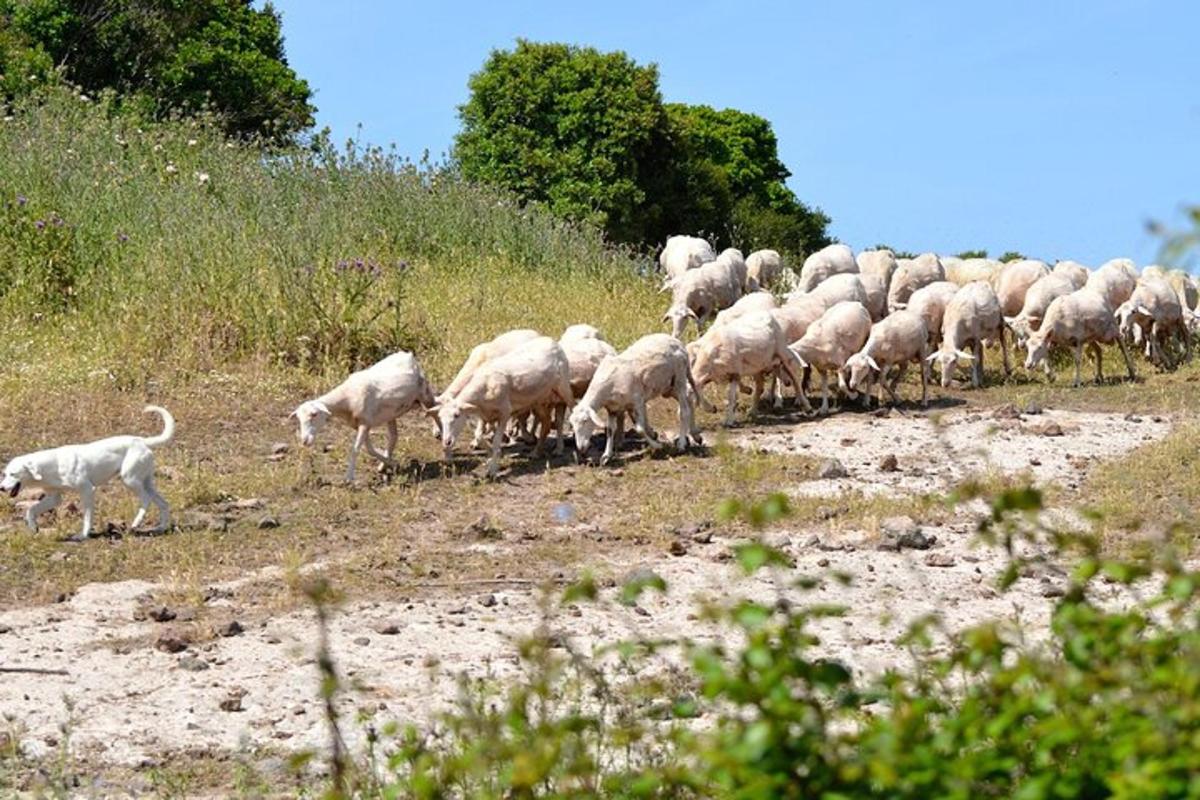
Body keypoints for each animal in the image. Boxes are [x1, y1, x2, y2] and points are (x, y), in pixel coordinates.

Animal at [0, 402, 175, 542]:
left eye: (13, 474)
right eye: (5, 473)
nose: (1, 488)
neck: (52, 466)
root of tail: (140, 440)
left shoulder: (87, 490)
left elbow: (87, 517)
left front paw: (83, 535)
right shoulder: (53, 498)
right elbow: (30, 510)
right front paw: (33, 527)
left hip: (129, 479)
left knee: (146, 500)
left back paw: (137, 522)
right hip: (146, 483)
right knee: (163, 504)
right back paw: (161, 528)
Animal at [290, 350, 436, 482]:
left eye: (314, 414)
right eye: (298, 419)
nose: (304, 441)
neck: (346, 399)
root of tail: (407, 354)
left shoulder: (365, 422)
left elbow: (355, 449)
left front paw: (349, 477)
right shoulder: (361, 424)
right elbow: (369, 449)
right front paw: (391, 462)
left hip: (425, 393)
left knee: (434, 409)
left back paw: (439, 435)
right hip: (391, 413)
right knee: (393, 436)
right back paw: (383, 465)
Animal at [434, 335, 573, 479]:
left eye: (456, 415)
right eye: (440, 417)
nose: (446, 441)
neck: (485, 385)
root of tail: (551, 341)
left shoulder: (504, 413)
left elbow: (496, 441)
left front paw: (492, 469)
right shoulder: (485, 415)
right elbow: (479, 435)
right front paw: (490, 456)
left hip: (563, 387)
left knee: (570, 409)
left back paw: (563, 447)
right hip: (538, 399)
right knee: (546, 423)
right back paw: (536, 452)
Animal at [566, 335, 700, 465]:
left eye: (585, 421)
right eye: (572, 424)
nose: (581, 448)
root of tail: (678, 343)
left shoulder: (637, 401)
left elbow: (640, 429)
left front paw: (657, 445)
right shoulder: (612, 409)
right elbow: (610, 430)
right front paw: (606, 456)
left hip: (679, 379)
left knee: (684, 411)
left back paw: (681, 443)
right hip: (668, 386)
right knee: (689, 398)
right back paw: (695, 435)